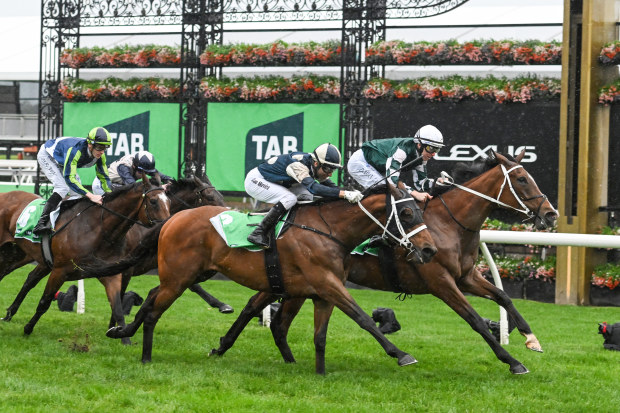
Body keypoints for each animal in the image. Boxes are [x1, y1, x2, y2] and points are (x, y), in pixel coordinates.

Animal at [0, 175, 170, 336]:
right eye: (153, 201)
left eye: (168, 201)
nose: (165, 228)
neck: (99, 229)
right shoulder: (60, 270)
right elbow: (45, 301)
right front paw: (28, 329)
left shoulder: (112, 273)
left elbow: (117, 306)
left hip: (21, 253)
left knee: (24, 278)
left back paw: (9, 314)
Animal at [105, 184, 436, 374]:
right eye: (407, 213)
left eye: (421, 210)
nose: (429, 250)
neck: (330, 231)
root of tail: (172, 218)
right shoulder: (327, 284)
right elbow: (363, 318)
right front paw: (401, 354)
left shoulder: (321, 292)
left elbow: (319, 335)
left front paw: (319, 373)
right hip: (178, 278)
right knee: (154, 310)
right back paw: (145, 356)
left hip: (190, 274)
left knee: (150, 298)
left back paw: (122, 331)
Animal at [207, 150, 556, 374]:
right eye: (522, 179)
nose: (551, 214)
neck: (448, 224)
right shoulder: (440, 281)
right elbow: (474, 319)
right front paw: (512, 362)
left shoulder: (466, 276)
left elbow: (504, 297)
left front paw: (531, 339)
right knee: (256, 307)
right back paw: (223, 345)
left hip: (294, 281)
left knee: (264, 310)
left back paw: (227, 346)